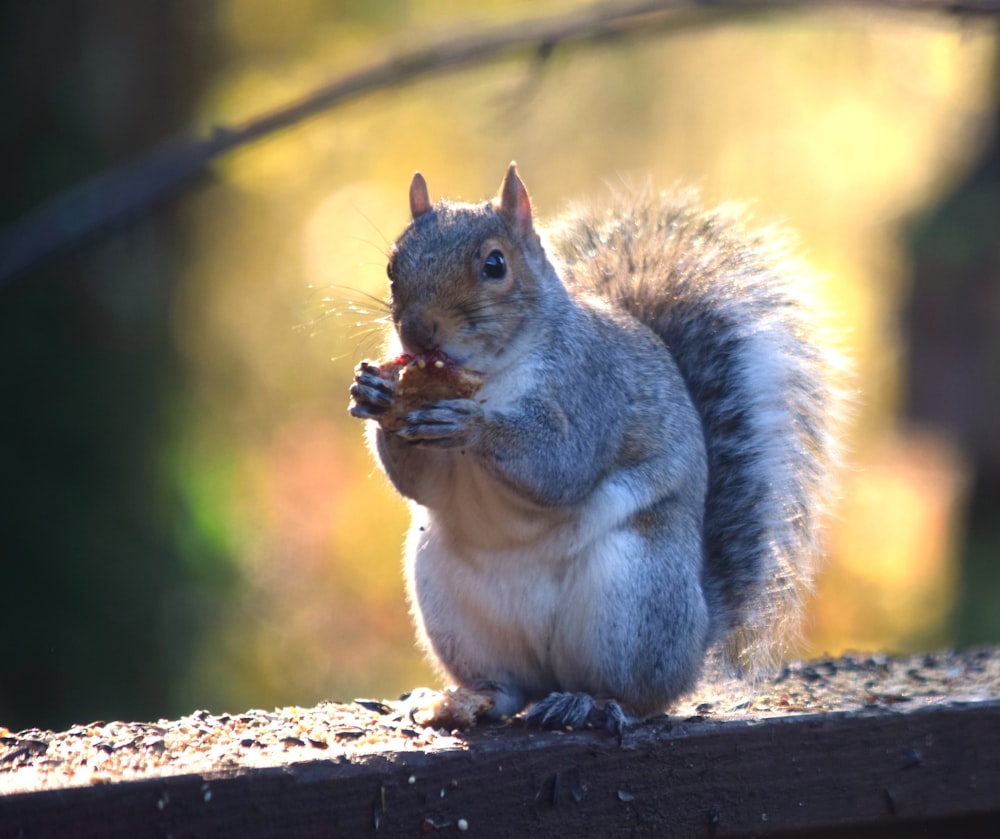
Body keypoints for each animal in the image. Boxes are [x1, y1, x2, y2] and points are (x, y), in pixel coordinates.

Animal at [352, 164, 844, 736]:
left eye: (495, 265)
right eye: (393, 266)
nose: (417, 331)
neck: (490, 374)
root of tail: (697, 638)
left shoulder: (591, 388)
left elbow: (563, 465)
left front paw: (472, 426)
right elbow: (420, 482)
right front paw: (375, 393)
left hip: (635, 596)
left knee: (641, 695)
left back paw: (593, 704)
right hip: (450, 604)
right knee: (510, 687)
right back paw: (467, 699)